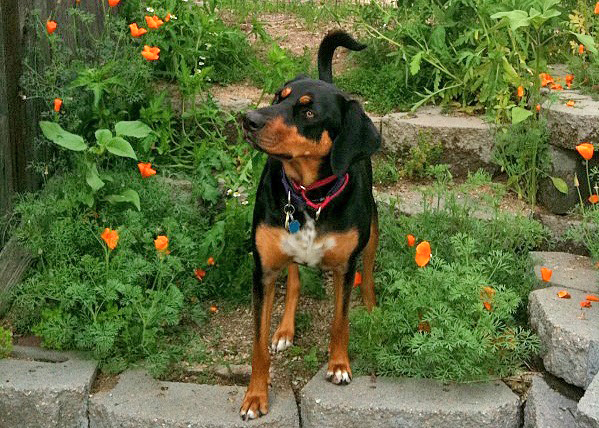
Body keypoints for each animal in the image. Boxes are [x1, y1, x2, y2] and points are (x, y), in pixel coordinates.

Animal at [239, 31, 380, 420]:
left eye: (309, 113)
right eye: (278, 97)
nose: (248, 119)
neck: (308, 197)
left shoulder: (345, 267)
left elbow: (339, 321)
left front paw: (339, 365)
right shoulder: (263, 270)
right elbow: (257, 344)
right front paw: (255, 396)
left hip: (373, 226)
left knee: (369, 267)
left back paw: (372, 307)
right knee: (295, 279)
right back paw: (285, 329)